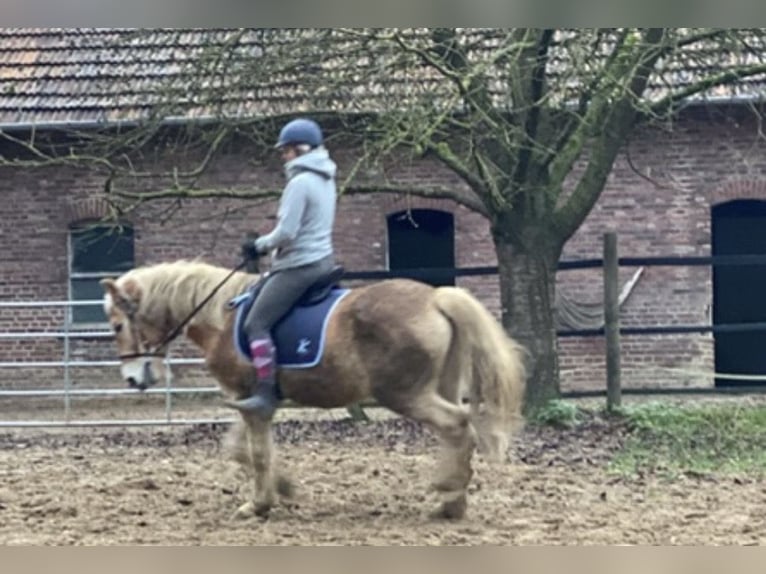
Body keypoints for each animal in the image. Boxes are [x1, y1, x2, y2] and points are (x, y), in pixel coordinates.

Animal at [100, 259, 527, 520]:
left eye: (117, 325)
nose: (133, 379)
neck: (222, 315)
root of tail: (436, 297)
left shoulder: (247, 399)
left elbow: (256, 454)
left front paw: (259, 504)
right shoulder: (251, 400)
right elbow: (240, 448)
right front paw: (284, 486)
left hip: (405, 394)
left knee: (457, 425)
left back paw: (448, 490)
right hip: (439, 386)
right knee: (455, 434)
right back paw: (451, 503)